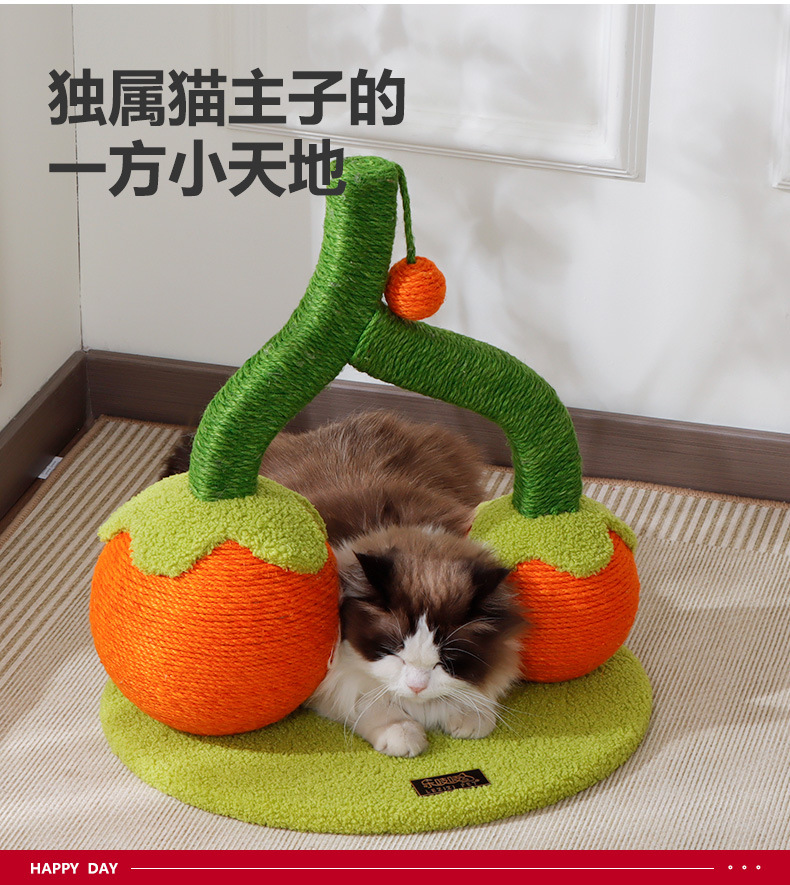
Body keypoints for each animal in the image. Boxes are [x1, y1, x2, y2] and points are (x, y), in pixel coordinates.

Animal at [162, 411, 526, 757]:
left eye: (444, 662)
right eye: (393, 651)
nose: (417, 687)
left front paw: (468, 715)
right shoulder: (327, 680)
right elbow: (368, 703)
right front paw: (402, 733)